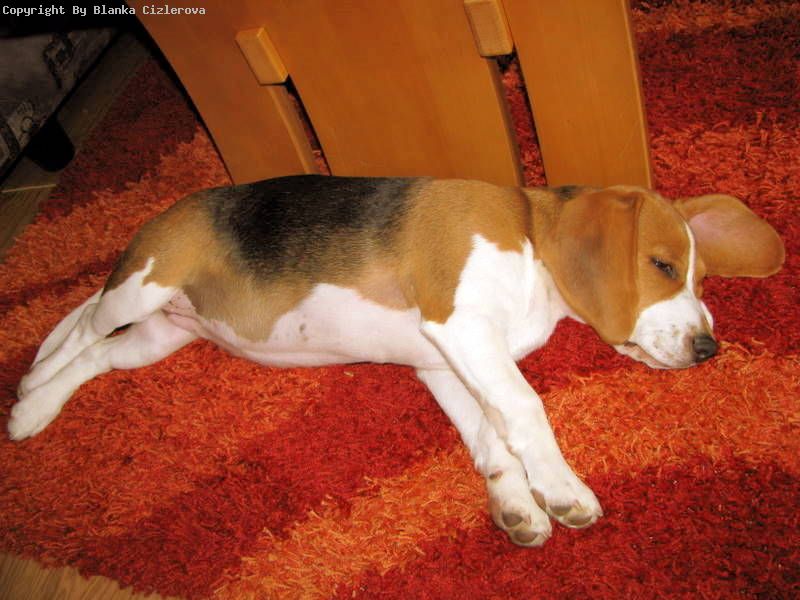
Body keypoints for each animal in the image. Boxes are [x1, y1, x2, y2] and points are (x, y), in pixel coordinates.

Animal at [9, 176, 784, 546]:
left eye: (702, 279)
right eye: (660, 266)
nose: (709, 347)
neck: (532, 245)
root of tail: (164, 215)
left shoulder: (447, 363)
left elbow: (492, 436)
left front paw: (515, 505)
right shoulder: (463, 328)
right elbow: (526, 409)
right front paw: (562, 489)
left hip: (160, 337)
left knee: (98, 356)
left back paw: (38, 407)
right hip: (144, 283)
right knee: (80, 327)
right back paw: (28, 394)